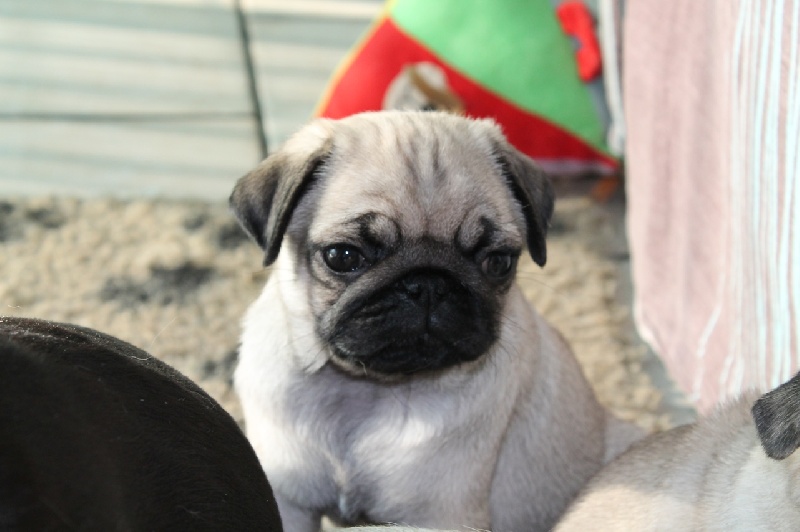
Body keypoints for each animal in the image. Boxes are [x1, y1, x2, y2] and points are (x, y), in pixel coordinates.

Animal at [231, 111, 644, 532]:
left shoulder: (439, 515)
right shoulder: (289, 502)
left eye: (498, 262)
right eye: (343, 256)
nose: (428, 284)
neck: (366, 390)